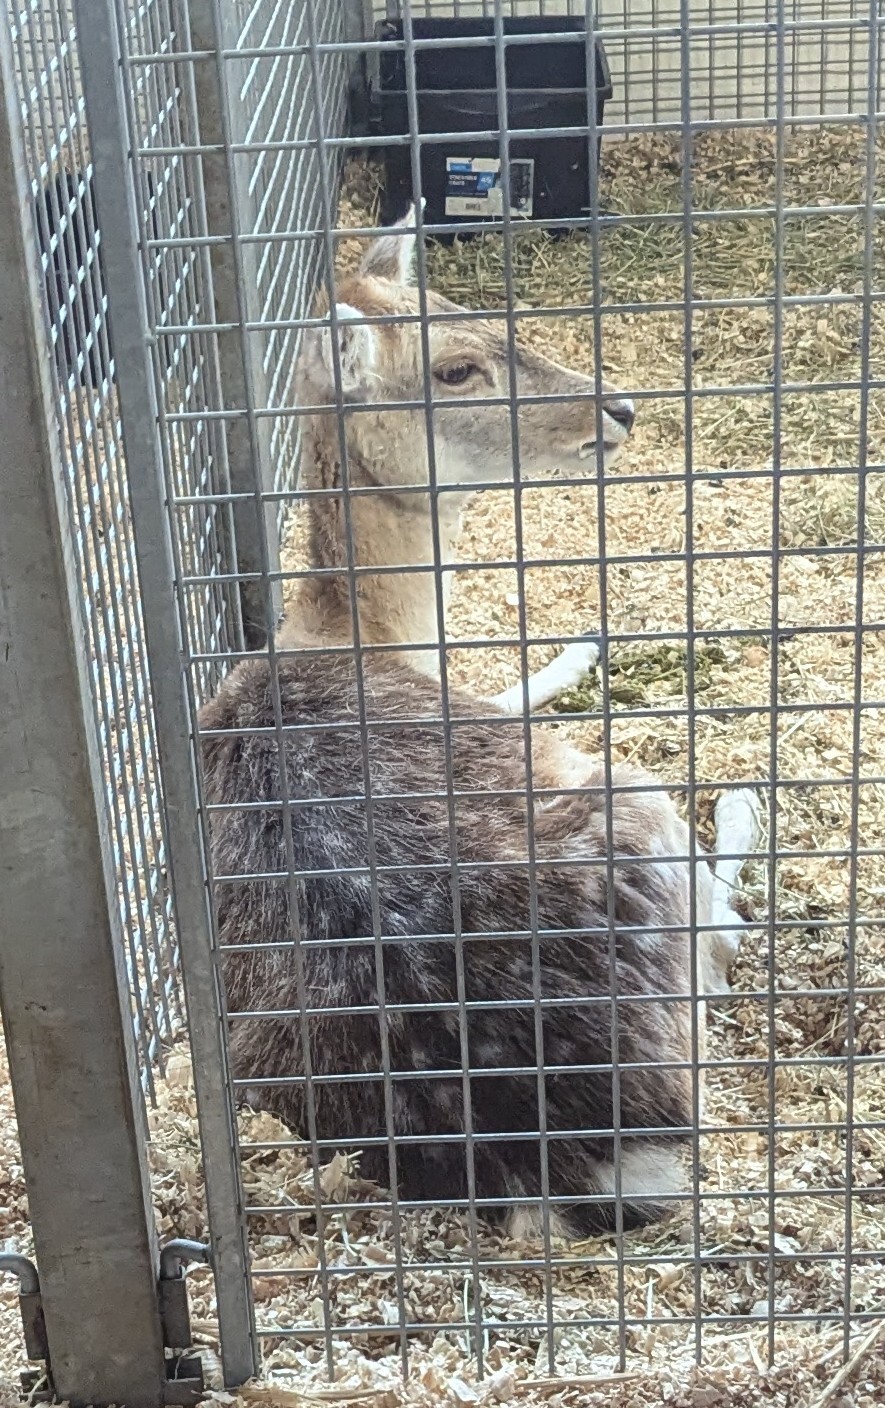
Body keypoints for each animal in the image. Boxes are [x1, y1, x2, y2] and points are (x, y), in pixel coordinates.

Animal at [199, 205, 759, 1233]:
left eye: (471, 313)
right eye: (455, 370)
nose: (618, 408)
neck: (363, 633)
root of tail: (574, 1156)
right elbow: (510, 690)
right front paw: (585, 643)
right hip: (632, 798)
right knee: (723, 929)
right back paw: (743, 799)